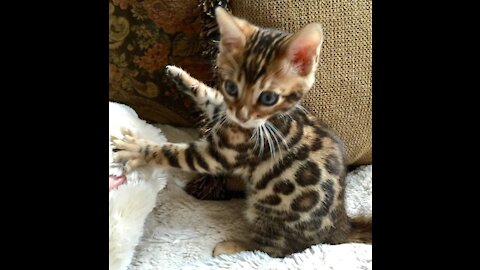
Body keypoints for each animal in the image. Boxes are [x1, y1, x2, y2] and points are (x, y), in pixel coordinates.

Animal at [111, 7, 372, 258]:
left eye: (268, 98)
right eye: (231, 87)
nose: (243, 115)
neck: (267, 121)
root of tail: (340, 228)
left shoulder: (220, 155)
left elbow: (170, 152)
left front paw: (136, 149)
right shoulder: (224, 111)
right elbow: (211, 96)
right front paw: (179, 75)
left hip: (268, 213)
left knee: (274, 250)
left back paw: (231, 247)